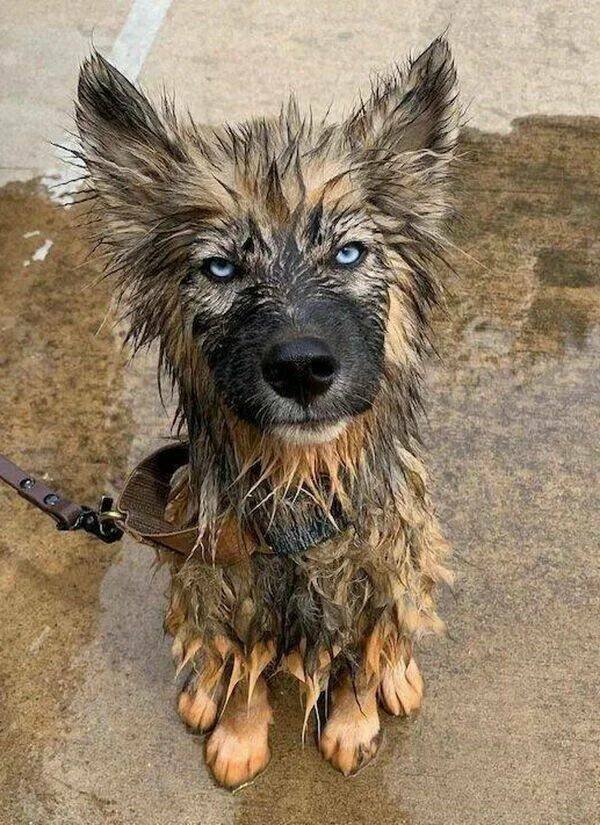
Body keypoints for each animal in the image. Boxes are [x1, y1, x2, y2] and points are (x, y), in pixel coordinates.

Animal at [75, 36, 459, 788]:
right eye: (221, 268)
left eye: (348, 252)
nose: (302, 368)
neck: (301, 485)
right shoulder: (226, 572)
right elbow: (244, 671)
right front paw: (238, 736)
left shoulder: (376, 566)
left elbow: (360, 660)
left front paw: (354, 723)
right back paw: (200, 687)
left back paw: (400, 674)